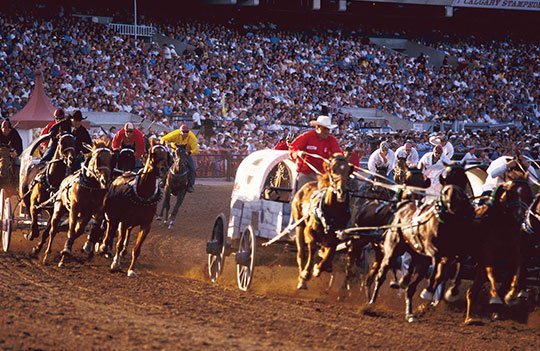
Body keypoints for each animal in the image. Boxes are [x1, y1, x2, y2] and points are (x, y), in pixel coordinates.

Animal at [100, 143, 169, 278]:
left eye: (166, 155)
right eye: (153, 154)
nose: (163, 169)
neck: (143, 194)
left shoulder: (146, 225)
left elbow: (137, 249)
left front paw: (131, 270)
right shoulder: (124, 221)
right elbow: (118, 243)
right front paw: (115, 264)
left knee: (124, 232)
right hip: (113, 215)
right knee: (109, 229)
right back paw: (103, 247)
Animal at [292, 155, 354, 290]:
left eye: (348, 171)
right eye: (333, 170)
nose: (341, 191)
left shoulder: (336, 238)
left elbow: (329, 254)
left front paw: (319, 268)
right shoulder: (309, 230)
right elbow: (312, 247)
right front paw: (306, 273)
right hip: (299, 225)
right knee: (301, 254)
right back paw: (301, 280)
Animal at [464, 175, 536, 326]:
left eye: (527, 194)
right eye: (512, 192)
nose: (519, 216)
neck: (504, 227)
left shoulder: (515, 255)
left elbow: (517, 271)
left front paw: (511, 296)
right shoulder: (488, 255)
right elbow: (491, 273)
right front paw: (495, 299)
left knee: (472, 291)